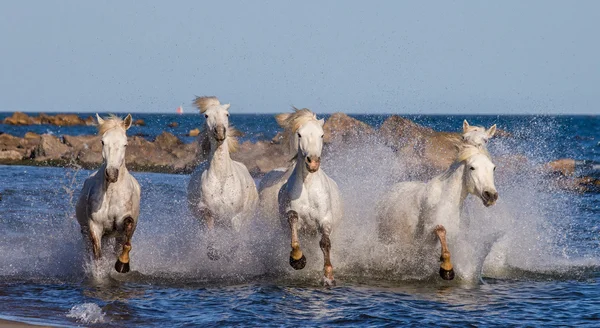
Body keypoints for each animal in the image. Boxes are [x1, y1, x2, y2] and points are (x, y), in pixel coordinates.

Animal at [75, 114, 139, 272]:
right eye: (103, 142)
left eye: (125, 144)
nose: (111, 174)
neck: (111, 193)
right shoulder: (95, 226)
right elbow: (97, 255)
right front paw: (99, 273)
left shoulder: (124, 224)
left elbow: (127, 236)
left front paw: (122, 264)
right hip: (86, 231)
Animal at [185, 96, 255, 260]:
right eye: (206, 115)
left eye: (227, 114)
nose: (220, 132)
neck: (222, 179)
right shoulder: (207, 212)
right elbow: (211, 235)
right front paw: (214, 253)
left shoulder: (236, 217)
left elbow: (235, 241)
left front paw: (229, 255)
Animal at [276, 107, 342, 284]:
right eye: (299, 134)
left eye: (322, 135)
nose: (312, 162)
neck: (307, 186)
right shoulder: (294, 217)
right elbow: (293, 220)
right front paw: (297, 259)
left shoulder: (325, 219)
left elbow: (325, 243)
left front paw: (328, 276)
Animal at [378, 133, 500, 280]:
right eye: (472, 167)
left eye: (493, 167)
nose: (491, 195)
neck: (448, 201)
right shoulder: (427, 236)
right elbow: (441, 236)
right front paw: (446, 269)